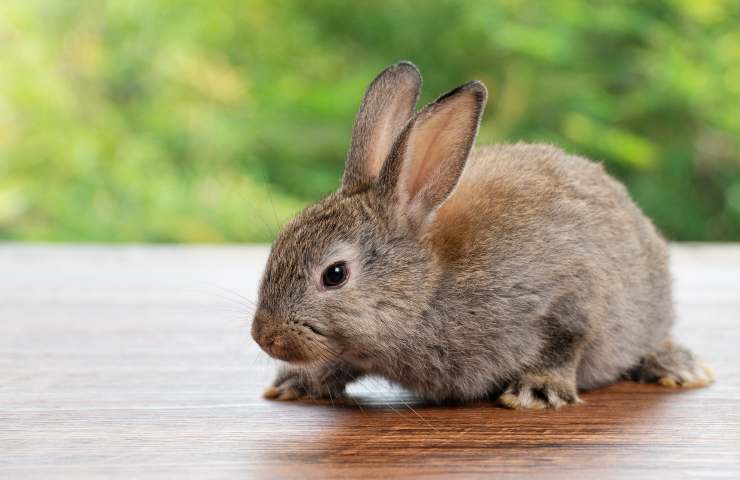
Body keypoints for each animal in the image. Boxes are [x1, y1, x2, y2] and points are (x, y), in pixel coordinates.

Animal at [250, 61, 714, 409]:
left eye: (335, 274)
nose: (264, 337)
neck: (427, 288)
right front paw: (298, 382)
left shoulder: (564, 296)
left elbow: (570, 338)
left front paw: (538, 391)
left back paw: (678, 367)